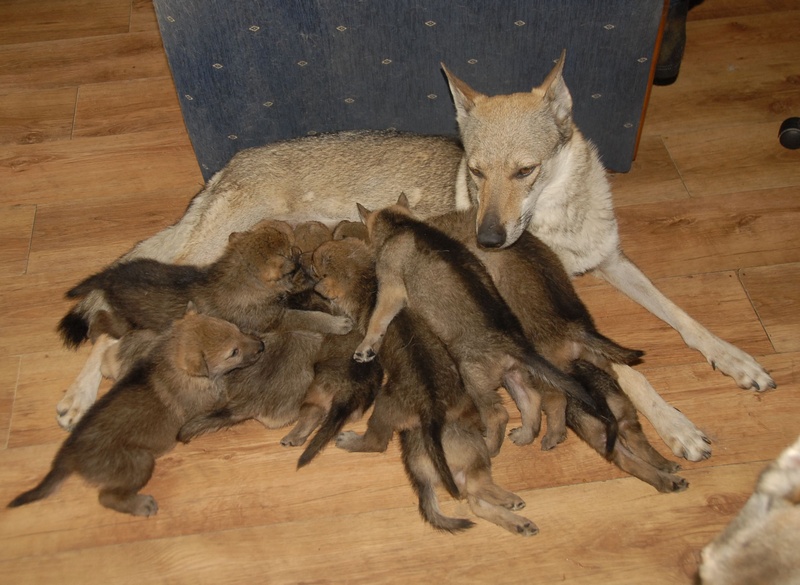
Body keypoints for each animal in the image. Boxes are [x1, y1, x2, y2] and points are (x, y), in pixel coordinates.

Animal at [8, 307, 264, 516]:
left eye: (236, 328)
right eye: (233, 352)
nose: (261, 345)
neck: (171, 359)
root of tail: (69, 454)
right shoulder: (211, 401)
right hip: (140, 461)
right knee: (106, 497)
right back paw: (141, 505)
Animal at [58, 52, 773, 461]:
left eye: (525, 171)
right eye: (476, 172)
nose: (488, 240)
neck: (558, 223)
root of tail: (227, 166)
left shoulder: (611, 263)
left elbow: (685, 319)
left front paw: (736, 361)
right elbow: (626, 367)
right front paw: (677, 425)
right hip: (201, 259)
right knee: (118, 312)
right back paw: (77, 393)